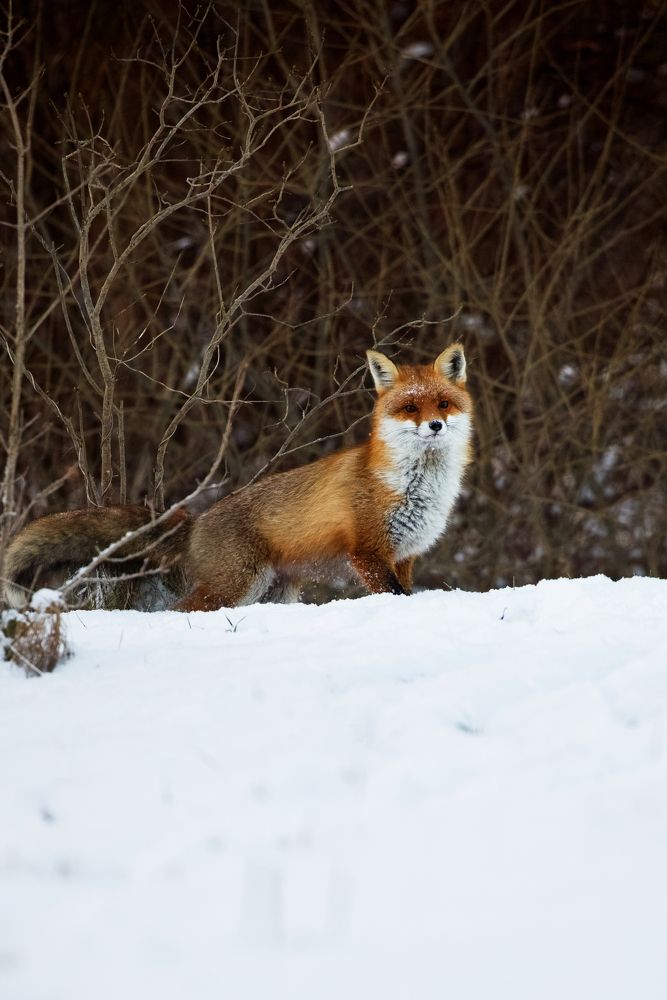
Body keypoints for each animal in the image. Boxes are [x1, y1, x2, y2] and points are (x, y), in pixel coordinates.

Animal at [3, 343, 473, 611]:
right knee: (182, 611)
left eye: (443, 404)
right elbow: (395, 597)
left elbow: (405, 589)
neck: (416, 487)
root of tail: (195, 523)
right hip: (237, 585)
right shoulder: (367, 552)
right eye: (410, 408)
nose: (435, 426)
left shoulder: (405, 555)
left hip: (274, 591)